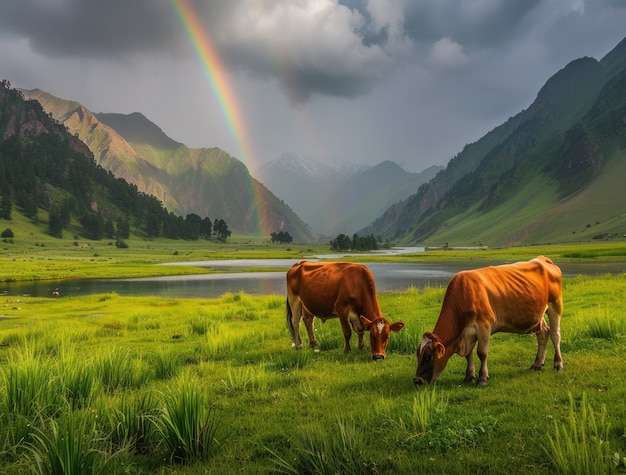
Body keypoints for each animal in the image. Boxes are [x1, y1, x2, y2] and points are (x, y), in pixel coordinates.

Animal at [414, 256, 560, 386]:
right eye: (418, 355)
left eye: (428, 357)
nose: (417, 381)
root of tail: (542, 259)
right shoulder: (468, 332)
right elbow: (469, 355)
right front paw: (469, 376)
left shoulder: (484, 325)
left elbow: (482, 353)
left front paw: (482, 379)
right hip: (539, 314)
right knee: (543, 333)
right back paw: (537, 364)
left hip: (555, 305)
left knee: (555, 334)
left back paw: (558, 364)